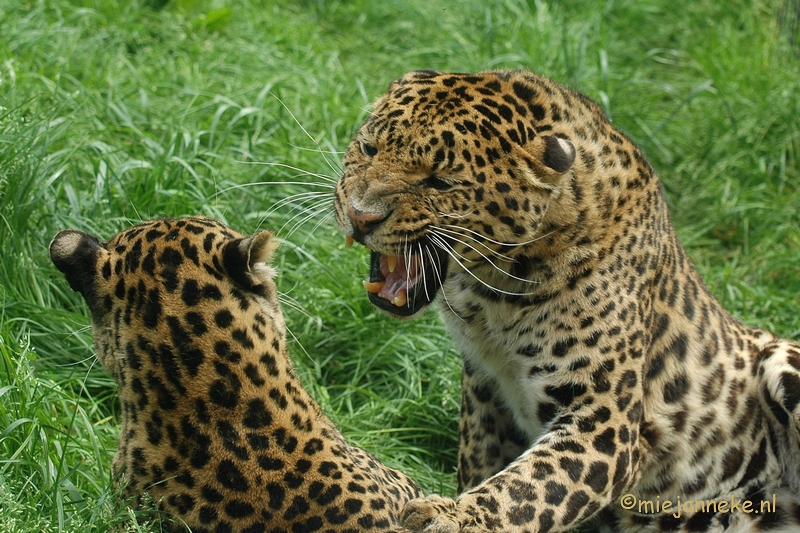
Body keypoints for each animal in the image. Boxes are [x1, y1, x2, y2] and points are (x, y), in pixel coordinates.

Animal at [330, 68, 800, 528]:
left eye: (440, 182)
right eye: (368, 148)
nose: (360, 215)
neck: (492, 297)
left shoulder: (603, 422)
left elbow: (527, 489)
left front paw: (453, 517)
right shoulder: (484, 388)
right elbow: (484, 462)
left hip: (781, 360)